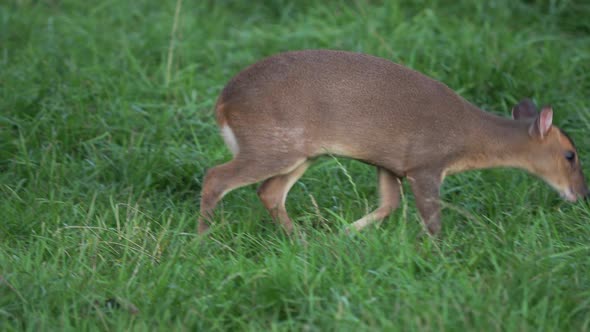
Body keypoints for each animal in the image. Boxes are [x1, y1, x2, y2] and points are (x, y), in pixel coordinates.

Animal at [198, 50, 588, 236]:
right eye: (571, 155)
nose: (582, 194)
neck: (469, 138)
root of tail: (222, 103)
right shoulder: (426, 163)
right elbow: (432, 220)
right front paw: (439, 256)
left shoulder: (390, 163)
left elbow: (389, 204)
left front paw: (343, 234)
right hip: (272, 143)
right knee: (215, 177)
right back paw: (203, 241)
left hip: (300, 152)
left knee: (269, 192)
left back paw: (303, 240)